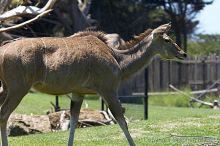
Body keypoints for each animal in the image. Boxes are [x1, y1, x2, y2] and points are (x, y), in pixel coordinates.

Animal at [0, 23, 186, 145]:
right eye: (167, 40)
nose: (183, 53)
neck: (117, 58)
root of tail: (3, 49)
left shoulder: (78, 94)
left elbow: (73, 122)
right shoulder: (108, 90)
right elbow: (122, 120)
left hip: (6, 89)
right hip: (18, 89)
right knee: (4, 114)